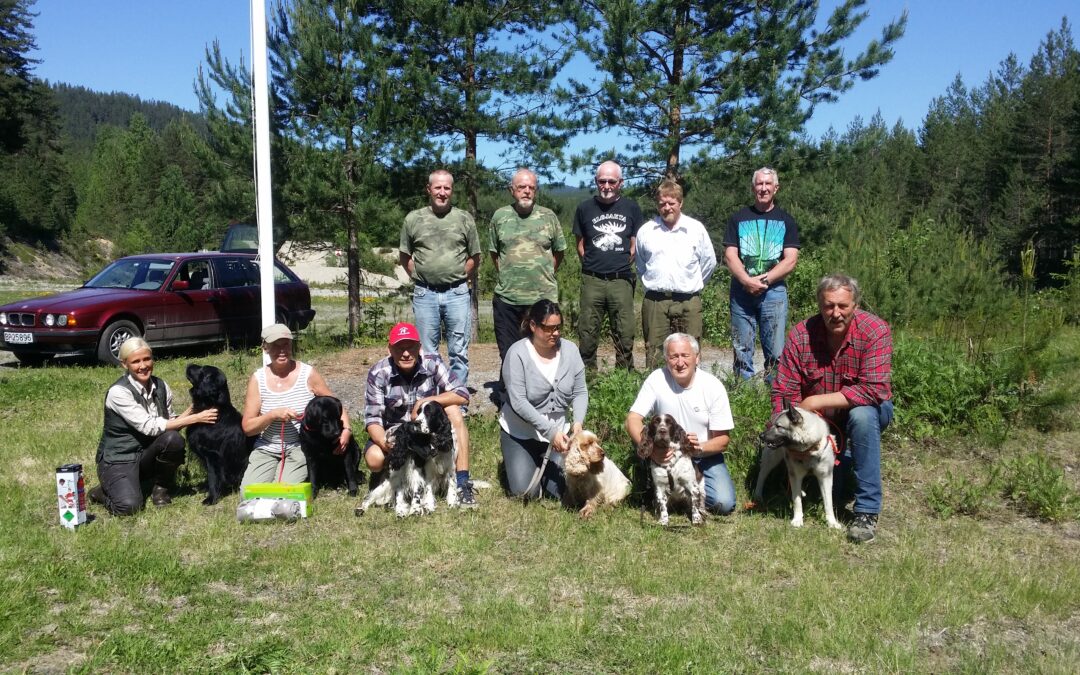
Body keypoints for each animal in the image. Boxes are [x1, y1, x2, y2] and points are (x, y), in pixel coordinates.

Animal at [751, 401, 842, 529]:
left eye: (779, 426)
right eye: (774, 425)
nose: (761, 435)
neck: (808, 450)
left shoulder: (825, 477)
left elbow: (828, 503)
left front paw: (832, 522)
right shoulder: (795, 475)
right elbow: (797, 500)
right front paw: (798, 519)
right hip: (771, 460)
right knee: (762, 475)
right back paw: (758, 495)